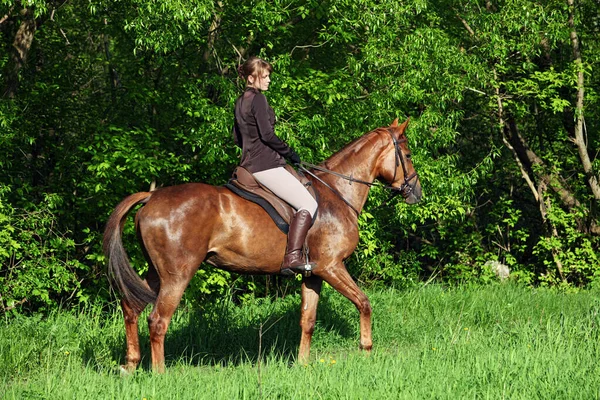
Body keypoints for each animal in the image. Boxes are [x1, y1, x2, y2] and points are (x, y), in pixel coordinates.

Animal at [103, 117, 422, 374]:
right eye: (407, 154)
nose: (416, 193)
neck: (336, 192)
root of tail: (151, 197)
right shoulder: (331, 266)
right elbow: (364, 303)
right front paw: (366, 350)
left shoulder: (313, 274)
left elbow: (307, 320)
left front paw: (302, 366)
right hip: (177, 275)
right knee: (158, 320)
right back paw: (160, 375)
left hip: (157, 273)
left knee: (131, 308)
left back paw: (130, 365)